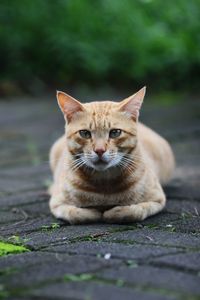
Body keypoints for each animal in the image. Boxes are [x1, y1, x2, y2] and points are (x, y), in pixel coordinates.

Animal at [49, 86, 174, 223]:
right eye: (85, 133)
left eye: (115, 132)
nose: (99, 150)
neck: (104, 182)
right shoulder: (57, 204)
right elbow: (76, 214)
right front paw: (94, 212)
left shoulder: (157, 199)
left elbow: (135, 211)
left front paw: (115, 212)